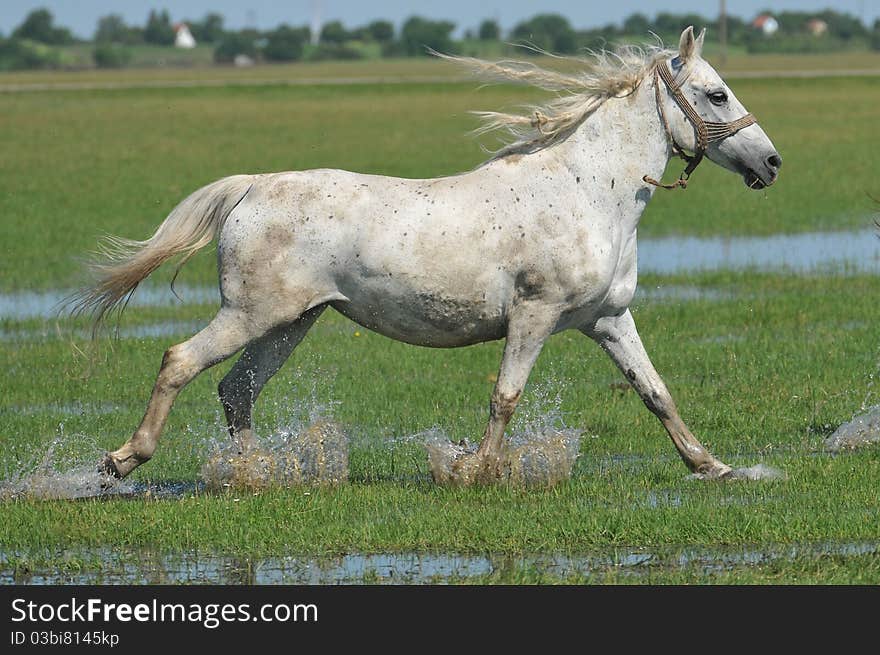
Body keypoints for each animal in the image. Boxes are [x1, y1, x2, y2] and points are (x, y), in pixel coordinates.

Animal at [70, 28, 784, 484]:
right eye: (717, 94)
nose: (772, 163)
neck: (587, 194)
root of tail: (251, 186)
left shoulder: (608, 319)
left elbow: (656, 393)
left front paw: (714, 467)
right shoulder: (534, 315)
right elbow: (505, 396)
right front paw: (477, 471)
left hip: (292, 321)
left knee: (236, 389)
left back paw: (255, 471)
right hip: (250, 315)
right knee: (180, 362)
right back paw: (124, 460)